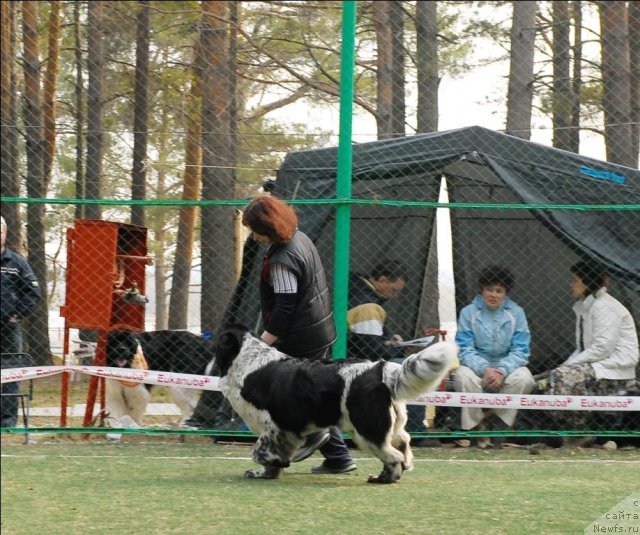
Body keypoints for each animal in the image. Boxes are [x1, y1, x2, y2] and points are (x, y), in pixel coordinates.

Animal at [218, 324, 458, 484]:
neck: (249, 361)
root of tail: (379, 370)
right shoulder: (283, 431)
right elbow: (273, 456)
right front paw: (268, 473)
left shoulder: (274, 425)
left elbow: (260, 452)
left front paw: (269, 468)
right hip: (389, 426)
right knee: (403, 444)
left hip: (367, 431)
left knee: (393, 455)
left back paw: (383, 478)